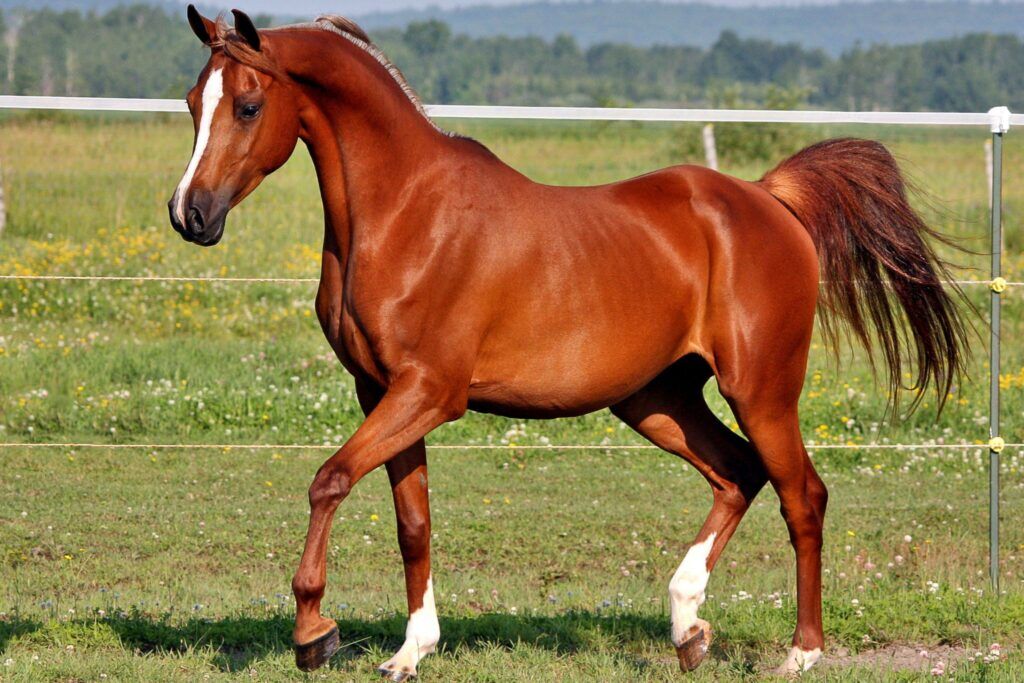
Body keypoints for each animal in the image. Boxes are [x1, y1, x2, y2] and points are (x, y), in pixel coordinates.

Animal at [169, 7, 967, 679]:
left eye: (248, 105)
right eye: (191, 102)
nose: (190, 215)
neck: (405, 213)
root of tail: (768, 199)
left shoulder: (429, 392)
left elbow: (329, 479)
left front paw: (313, 632)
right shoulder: (383, 393)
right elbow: (412, 523)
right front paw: (409, 651)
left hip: (762, 390)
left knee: (802, 495)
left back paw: (802, 652)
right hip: (656, 399)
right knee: (737, 472)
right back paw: (687, 627)